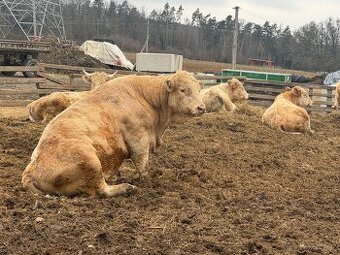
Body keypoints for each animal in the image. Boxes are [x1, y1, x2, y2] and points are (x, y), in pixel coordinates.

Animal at [23, 70, 207, 196]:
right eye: (182, 89)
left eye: (198, 89)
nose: (201, 107)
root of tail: (31, 169)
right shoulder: (138, 138)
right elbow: (142, 163)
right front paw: (147, 181)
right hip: (90, 160)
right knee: (102, 190)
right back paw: (126, 187)